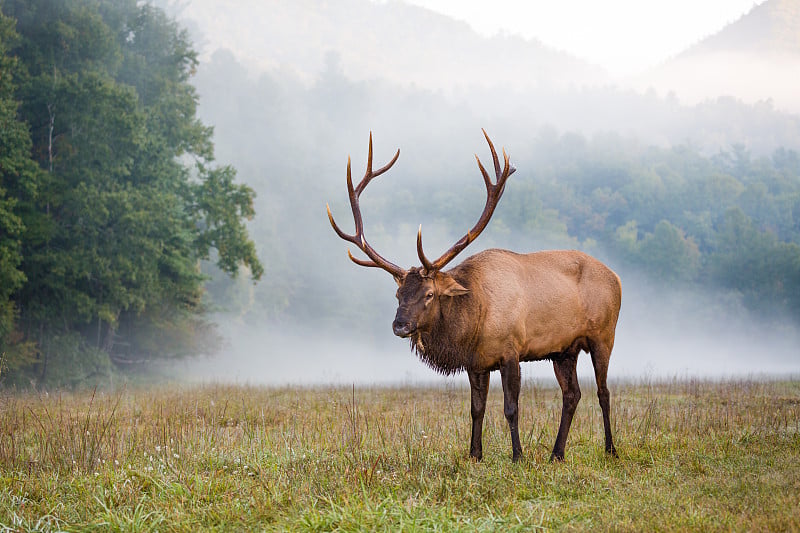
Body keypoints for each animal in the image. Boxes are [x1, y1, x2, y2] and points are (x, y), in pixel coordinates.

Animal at [326, 130, 624, 462]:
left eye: (429, 294)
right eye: (398, 293)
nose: (400, 326)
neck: (474, 320)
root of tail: (617, 277)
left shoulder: (511, 351)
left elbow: (511, 408)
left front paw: (517, 456)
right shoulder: (476, 362)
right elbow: (476, 409)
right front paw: (474, 454)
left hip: (603, 335)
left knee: (603, 391)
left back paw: (610, 448)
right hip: (564, 350)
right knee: (572, 394)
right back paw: (556, 453)